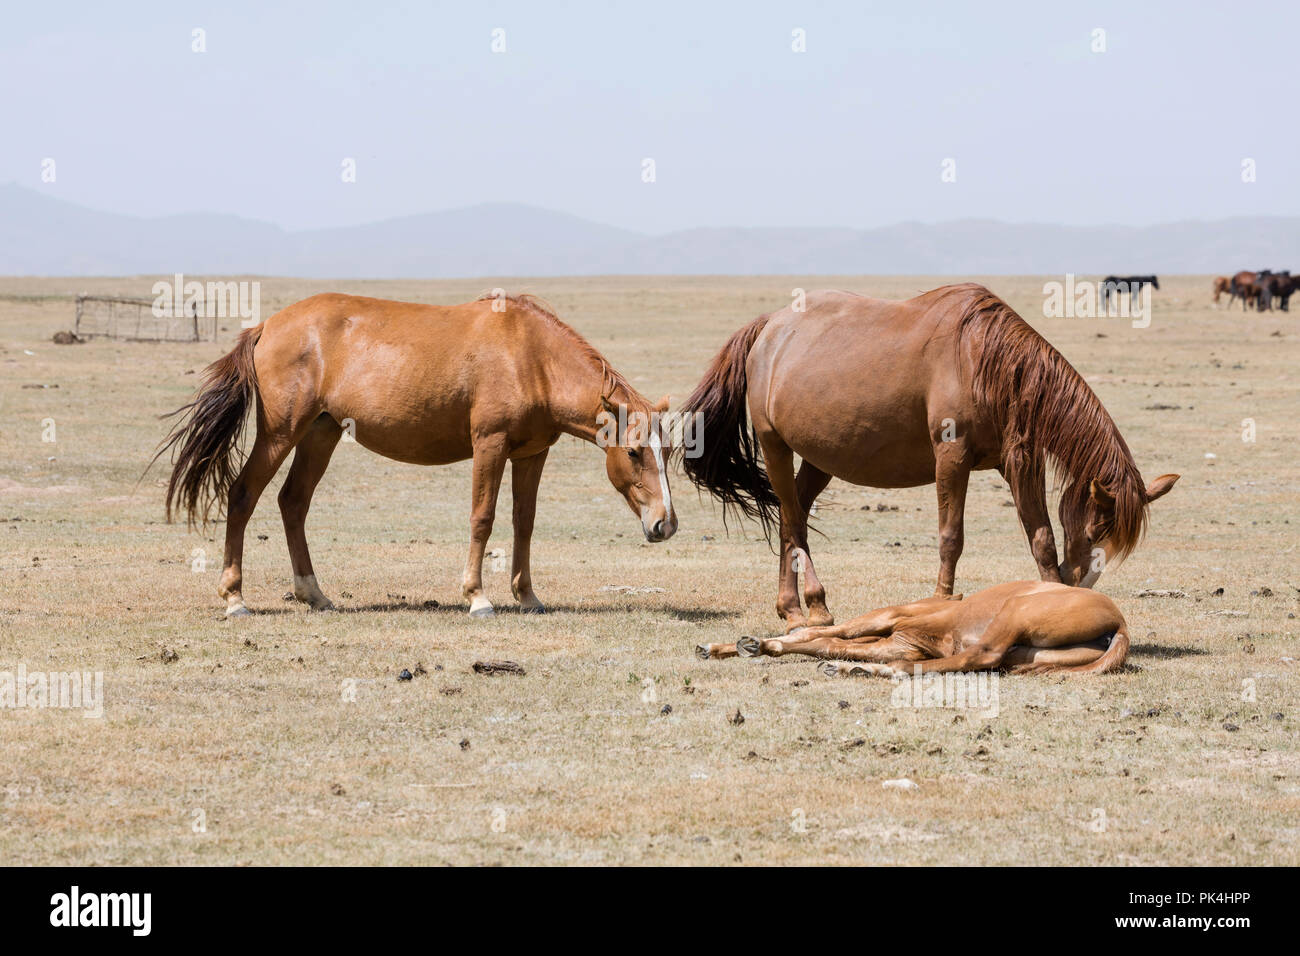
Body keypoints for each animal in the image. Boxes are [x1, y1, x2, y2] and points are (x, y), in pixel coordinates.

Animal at [154, 292, 678, 618]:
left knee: (293, 502)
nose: (665, 524)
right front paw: (477, 597)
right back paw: (234, 597)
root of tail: (266, 326)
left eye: (668, 450)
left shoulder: (531, 455)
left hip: (320, 433)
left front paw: (527, 595)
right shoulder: (489, 445)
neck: (530, 356)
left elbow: (523, 523)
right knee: (243, 495)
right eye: (635, 452)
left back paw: (313, 593)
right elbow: (483, 518)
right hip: (281, 433)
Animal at [680, 283, 1178, 631]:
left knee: (791, 518)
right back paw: (815, 607)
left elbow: (1042, 538)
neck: (983, 358)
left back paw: (791, 608)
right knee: (794, 521)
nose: (1082, 586)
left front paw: (1054, 600)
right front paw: (940, 602)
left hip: (818, 459)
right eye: (1096, 529)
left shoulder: (1020, 462)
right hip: (775, 446)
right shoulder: (952, 457)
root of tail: (769, 327)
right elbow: (950, 537)